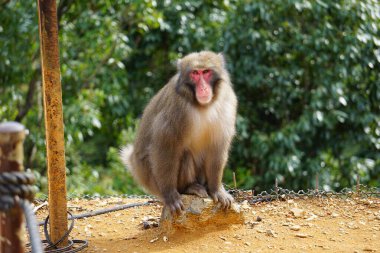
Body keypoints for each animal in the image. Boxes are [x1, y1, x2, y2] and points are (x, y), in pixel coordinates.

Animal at [119, 50, 238, 214]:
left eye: (206, 72)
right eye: (195, 73)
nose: (203, 88)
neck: (202, 106)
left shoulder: (227, 101)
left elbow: (217, 146)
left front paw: (216, 190)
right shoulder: (177, 109)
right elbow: (165, 146)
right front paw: (171, 195)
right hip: (153, 180)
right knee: (184, 154)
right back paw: (188, 188)